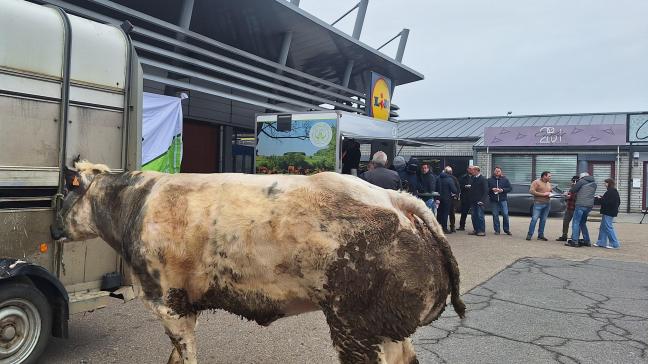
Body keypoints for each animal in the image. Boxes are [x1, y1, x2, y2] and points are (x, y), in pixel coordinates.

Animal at [52, 162, 466, 364]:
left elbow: (186, 356)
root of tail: (396, 199)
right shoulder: (186, 303)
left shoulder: (167, 302)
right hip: (389, 327)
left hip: (359, 326)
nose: (52, 228)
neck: (136, 203)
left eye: (64, 192)